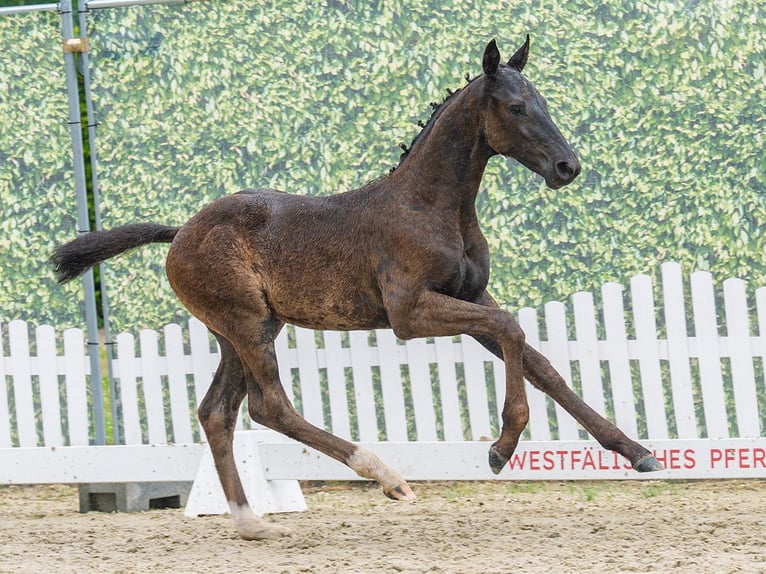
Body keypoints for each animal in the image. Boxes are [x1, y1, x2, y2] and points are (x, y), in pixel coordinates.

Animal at [51, 37, 663, 540]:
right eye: (516, 108)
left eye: (543, 103)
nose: (567, 167)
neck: (432, 206)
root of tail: (181, 231)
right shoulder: (410, 313)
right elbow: (512, 331)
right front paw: (500, 448)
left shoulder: (470, 299)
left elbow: (541, 365)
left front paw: (638, 453)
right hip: (248, 324)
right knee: (269, 407)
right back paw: (387, 476)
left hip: (240, 330)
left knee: (217, 413)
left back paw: (252, 522)